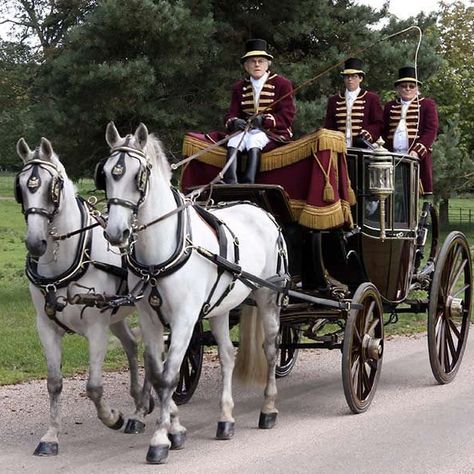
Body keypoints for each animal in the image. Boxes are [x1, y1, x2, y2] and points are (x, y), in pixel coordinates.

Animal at [15, 137, 154, 456]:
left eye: (53, 187)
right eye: (22, 188)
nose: (35, 243)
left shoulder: (96, 327)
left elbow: (93, 387)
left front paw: (113, 417)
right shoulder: (46, 327)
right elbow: (54, 383)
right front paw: (51, 436)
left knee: (151, 354)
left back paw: (139, 412)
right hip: (118, 314)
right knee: (131, 345)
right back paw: (138, 398)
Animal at [101, 121, 286, 462]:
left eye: (138, 176)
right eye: (106, 173)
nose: (115, 232)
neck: (161, 250)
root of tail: (260, 210)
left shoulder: (185, 318)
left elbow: (170, 375)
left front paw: (160, 439)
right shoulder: (150, 318)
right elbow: (157, 372)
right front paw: (174, 429)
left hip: (269, 297)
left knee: (270, 349)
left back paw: (268, 408)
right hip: (221, 307)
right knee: (227, 355)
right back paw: (225, 419)